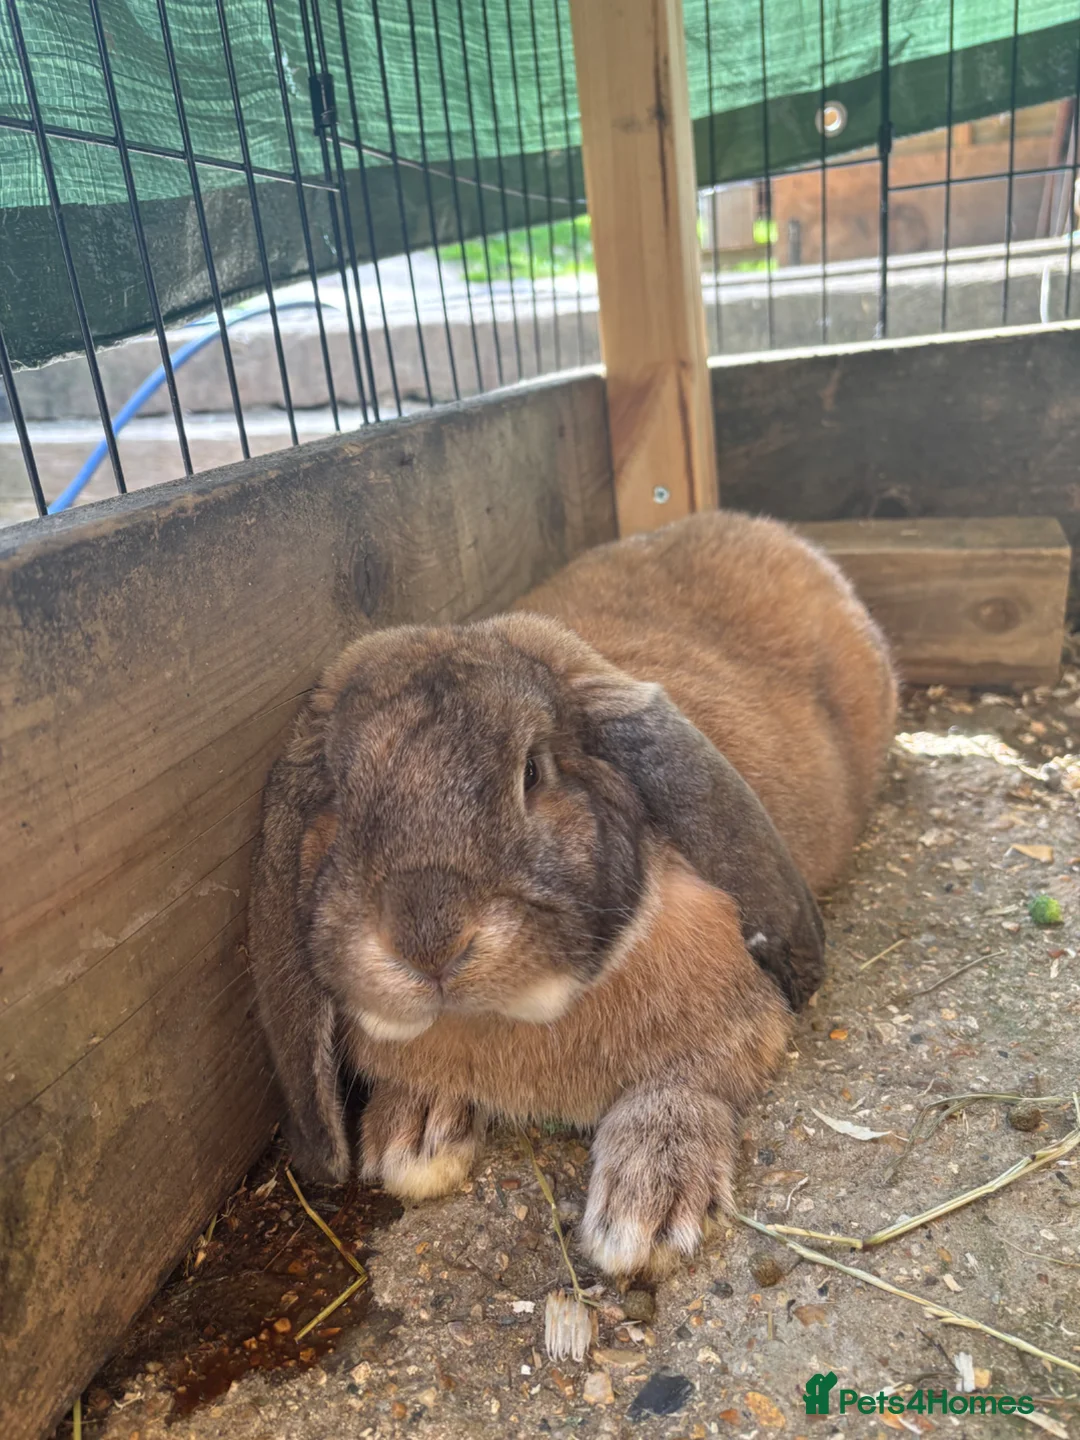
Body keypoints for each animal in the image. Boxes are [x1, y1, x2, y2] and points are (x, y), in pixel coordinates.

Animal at [248, 510, 897, 1277]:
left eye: (533, 772)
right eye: (340, 799)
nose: (430, 945)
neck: (505, 1016)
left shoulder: (737, 1029)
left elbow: (682, 1086)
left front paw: (644, 1211)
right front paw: (413, 1137)